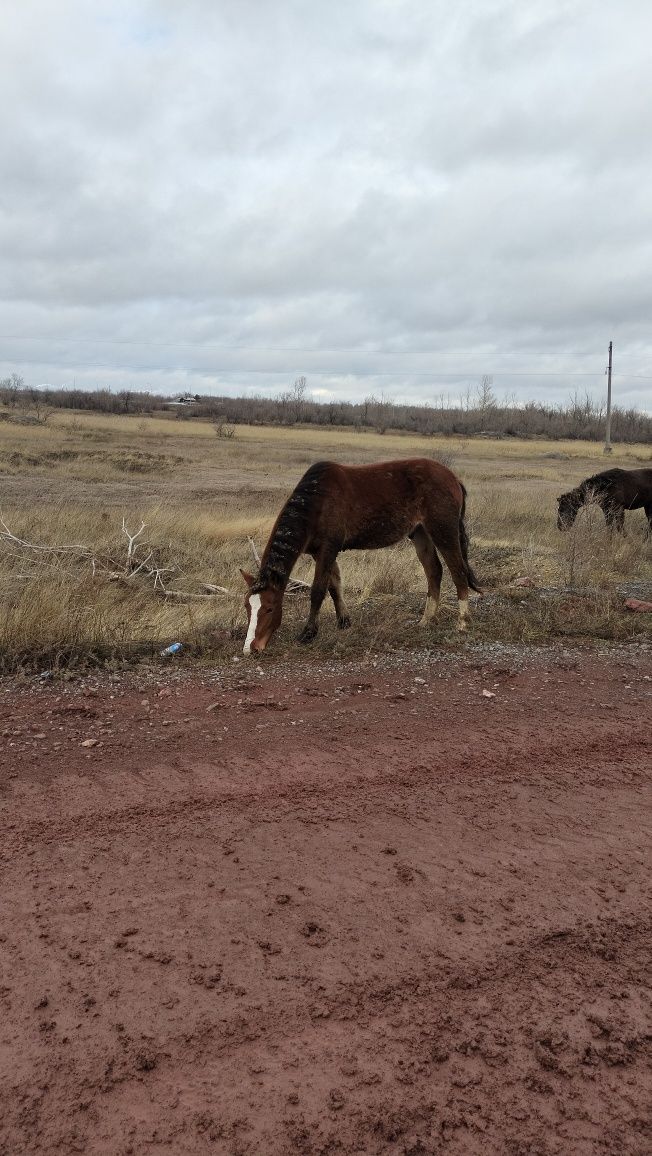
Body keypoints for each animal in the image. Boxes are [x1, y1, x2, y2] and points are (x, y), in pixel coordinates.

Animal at [241, 460, 480, 661]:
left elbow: (318, 590)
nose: (251, 648)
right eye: (247, 607)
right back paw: (426, 620)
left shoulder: (328, 548)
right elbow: (334, 586)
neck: (317, 502)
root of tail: (453, 478)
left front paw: (308, 633)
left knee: (458, 571)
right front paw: (344, 622)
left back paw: (463, 622)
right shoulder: (321, 552)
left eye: (270, 608)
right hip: (420, 533)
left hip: (443, 531)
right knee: (434, 571)